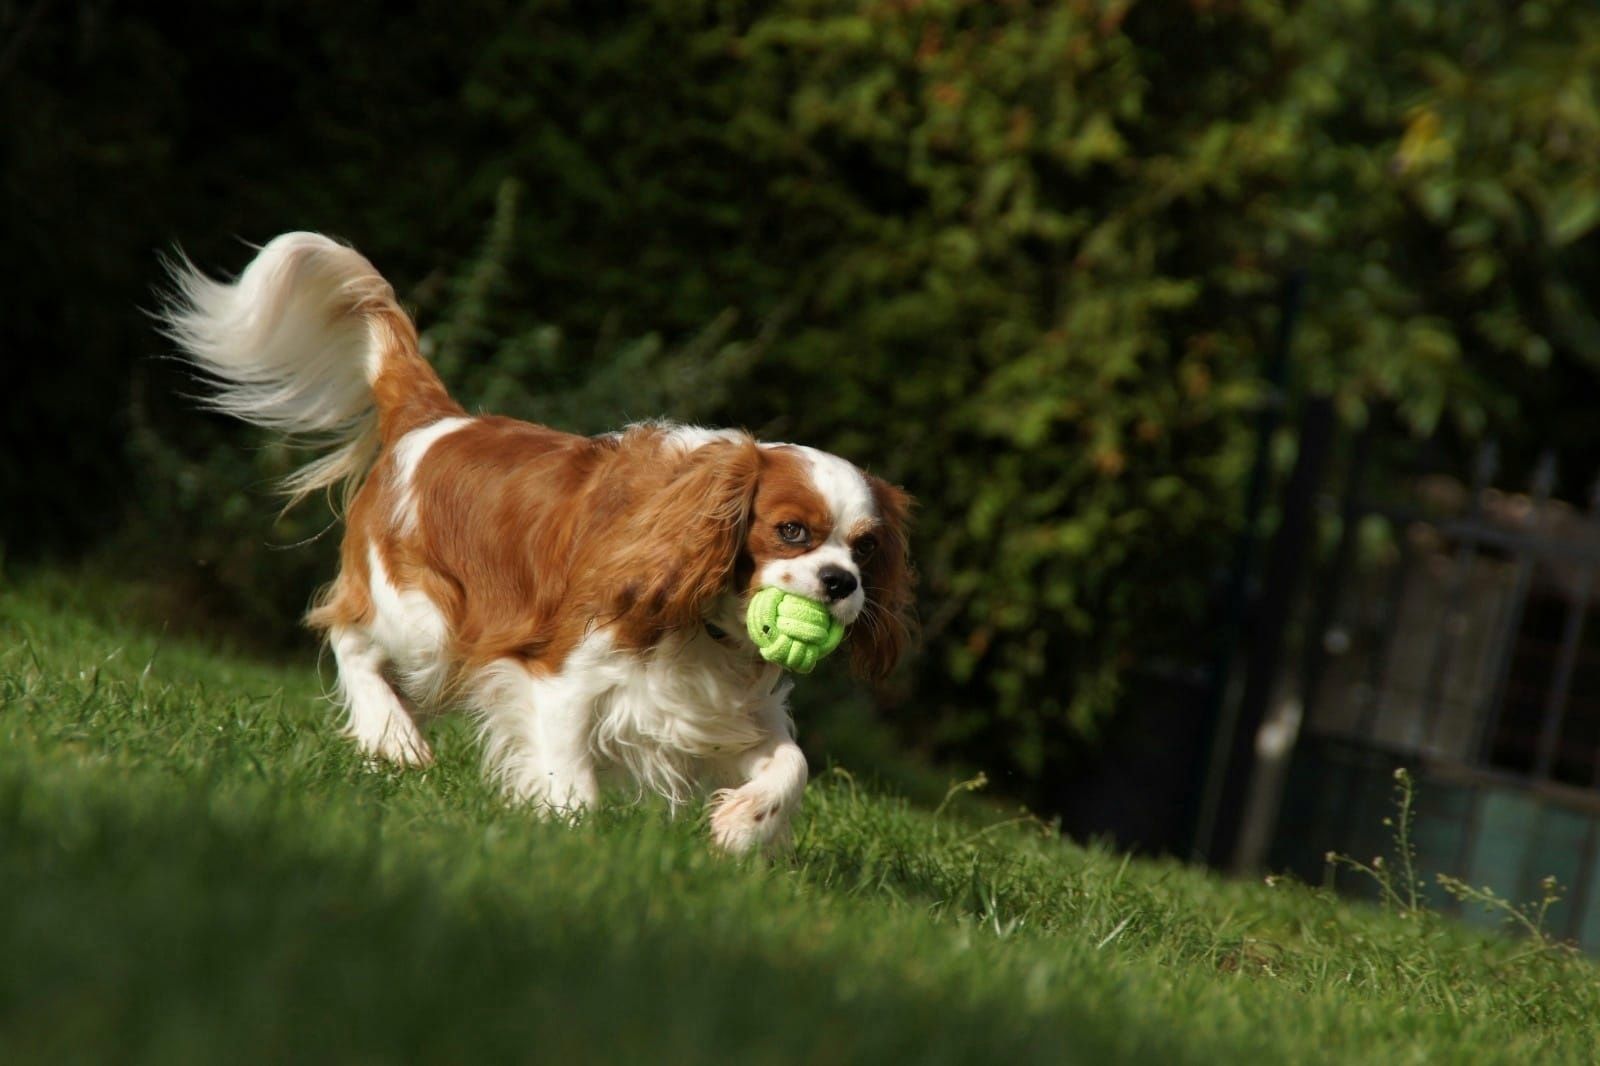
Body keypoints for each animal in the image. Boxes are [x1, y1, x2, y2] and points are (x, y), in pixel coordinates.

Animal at [165, 230, 915, 845]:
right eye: (792, 532)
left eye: (866, 550)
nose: (840, 583)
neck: (705, 623)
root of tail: (434, 419)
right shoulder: (558, 676)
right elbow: (570, 779)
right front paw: (566, 836)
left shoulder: (719, 711)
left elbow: (793, 762)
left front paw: (743, 824)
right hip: (427, 620)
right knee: (349, 635)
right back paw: (392, 735)